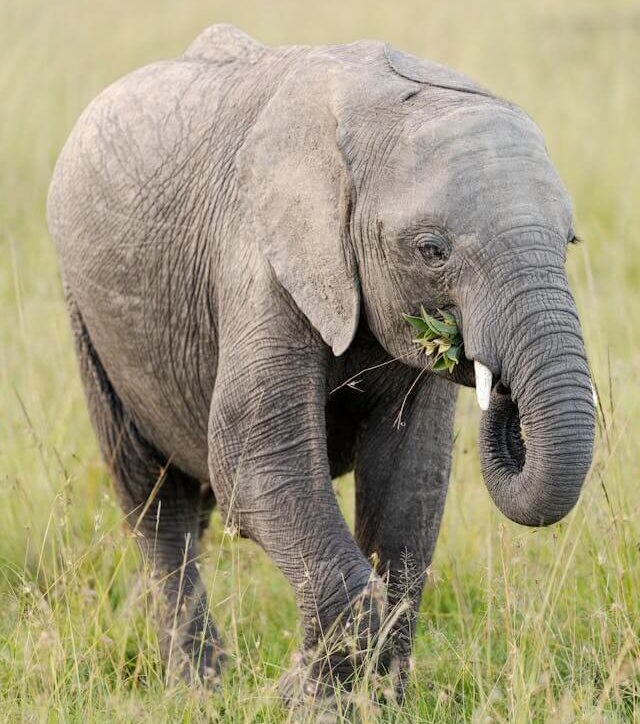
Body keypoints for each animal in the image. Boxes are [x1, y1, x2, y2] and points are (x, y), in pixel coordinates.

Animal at [47, 24, 595, 704]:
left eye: (569, 242)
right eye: (431, 250)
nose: (496, 384)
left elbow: (411, 479)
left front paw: (373, 701)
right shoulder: (258, 255)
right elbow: (256, 461)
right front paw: (306, 700)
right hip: (87, 318)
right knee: (152, 497)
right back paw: (201, 687)